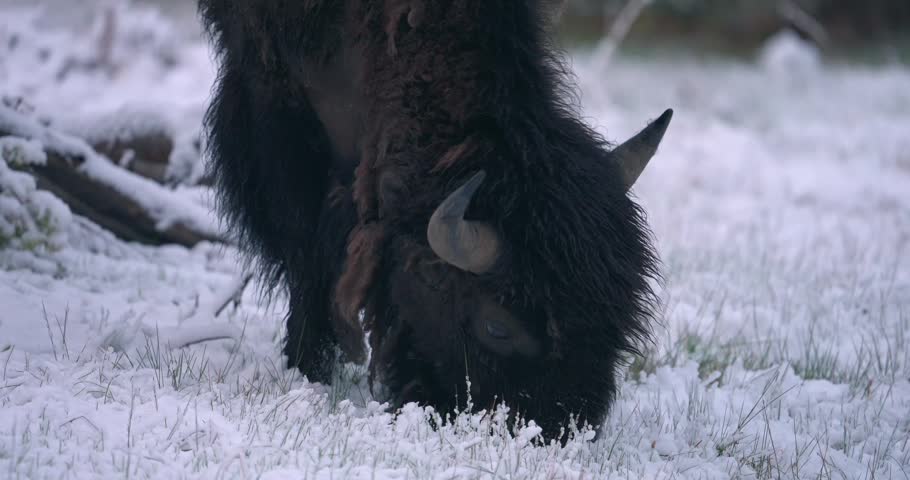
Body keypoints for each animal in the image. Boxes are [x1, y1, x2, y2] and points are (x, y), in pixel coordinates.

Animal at [198, 0, 672, 438]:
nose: (561, 429)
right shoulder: (273, 103)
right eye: (496, 326)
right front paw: (308, 367)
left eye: (619, 316)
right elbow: (306, 255)